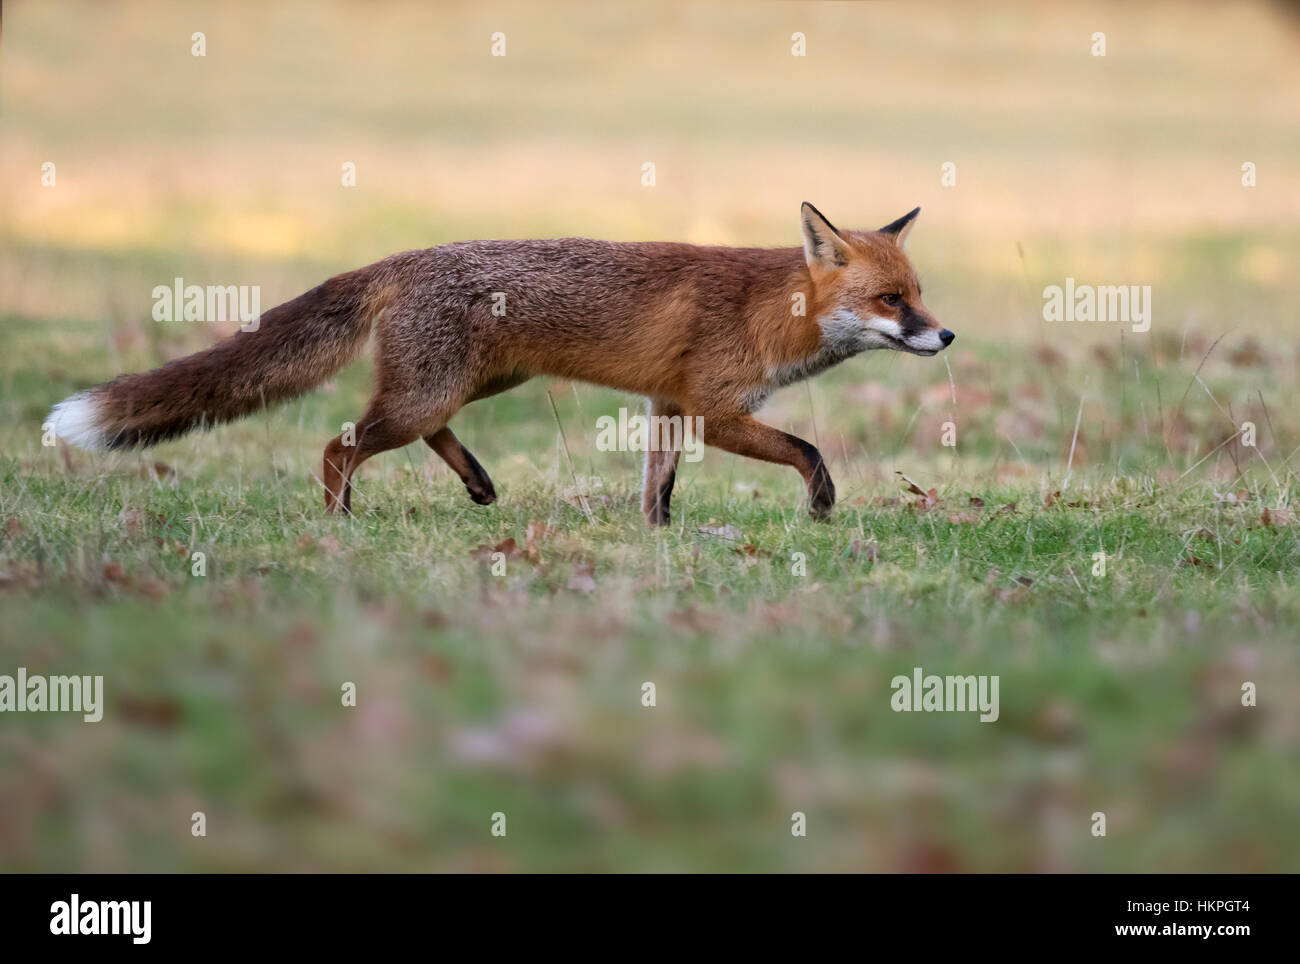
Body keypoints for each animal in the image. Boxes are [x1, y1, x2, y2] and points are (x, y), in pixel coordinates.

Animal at [48, 203, 953, 526]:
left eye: (919, 294)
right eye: (890, 301)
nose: (945, 338)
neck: (771, 309)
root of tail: (405, 256)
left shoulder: (666, 409)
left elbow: (657, 485)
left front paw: (656, 538)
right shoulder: (712, 408)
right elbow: (808, 450)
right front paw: (822, 505)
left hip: (476, 382)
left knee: (417, 432)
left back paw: (478, 484)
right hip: (434, 390)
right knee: (340, 445)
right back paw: (341, 521)